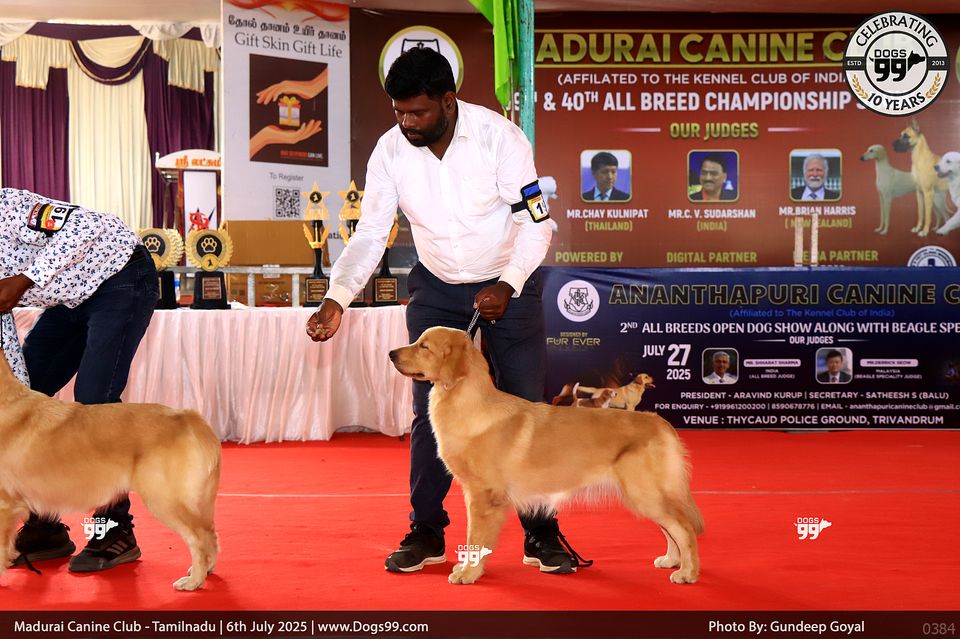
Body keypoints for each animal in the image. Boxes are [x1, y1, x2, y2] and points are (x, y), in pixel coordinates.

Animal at [0, 350, 220, 591]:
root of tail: (186, 416)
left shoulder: (4, 504)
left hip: (165, 499)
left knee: (199, 537)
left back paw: (194, 580)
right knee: (210, 533)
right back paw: (207, 570)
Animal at [389, 327, 703, 586]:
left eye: (424, 346)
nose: (391, 353)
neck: (470, 405)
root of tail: (659, 422)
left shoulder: (483, 496)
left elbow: (475, 539)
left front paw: (468, 573)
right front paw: (468, 569)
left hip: (645, 493)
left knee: (684, 528)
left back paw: (687, 572)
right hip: (648, 495)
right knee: (671, 528)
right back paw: (671, 560)